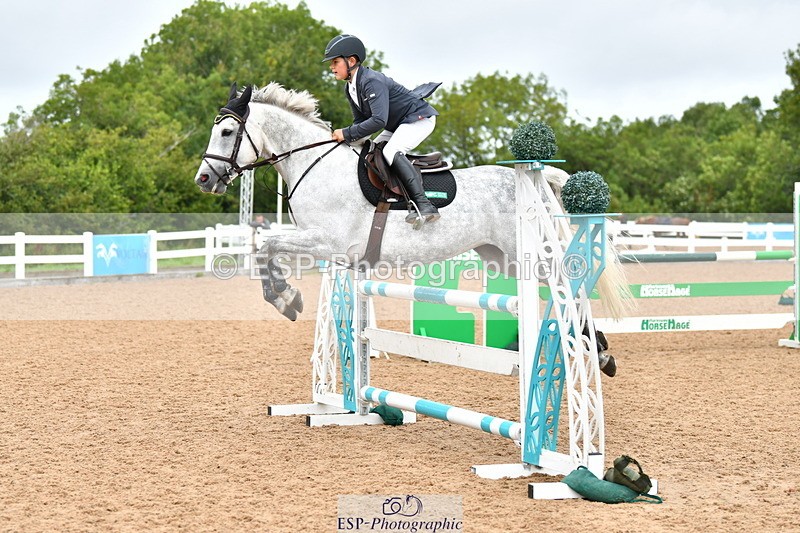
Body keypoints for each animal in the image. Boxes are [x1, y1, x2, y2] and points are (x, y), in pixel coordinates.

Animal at [194, 82, 632, 324]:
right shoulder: (326, 247)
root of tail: (532, 178)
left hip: (529, 251)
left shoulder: (327, 242)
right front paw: (285, 296)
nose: (204, 179)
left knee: (568, 284)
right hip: (500, 256)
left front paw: (286, 298)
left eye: (228, 131)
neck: (314, 163)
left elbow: (266, 246)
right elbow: (265, 250)